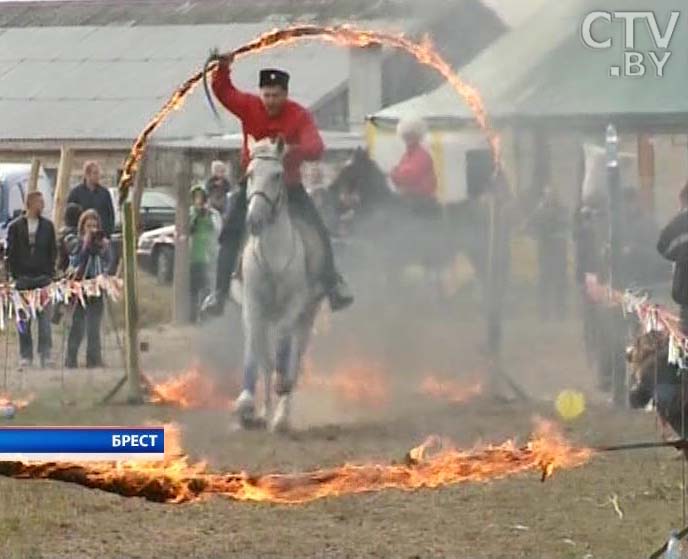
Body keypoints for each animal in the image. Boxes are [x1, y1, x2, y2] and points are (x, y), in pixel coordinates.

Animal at [234, 136, 326, 434]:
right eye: (250, 174)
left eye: (277, 175)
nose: (254, 220)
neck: (272, 256)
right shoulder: (252, 305)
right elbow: (255, 350)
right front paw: (247, 404)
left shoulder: (293, 306)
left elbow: (283, 349)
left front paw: (281, 387)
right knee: (264, 354)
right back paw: (265, 412)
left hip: (307, 316)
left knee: (295, 358)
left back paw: (282, 415)